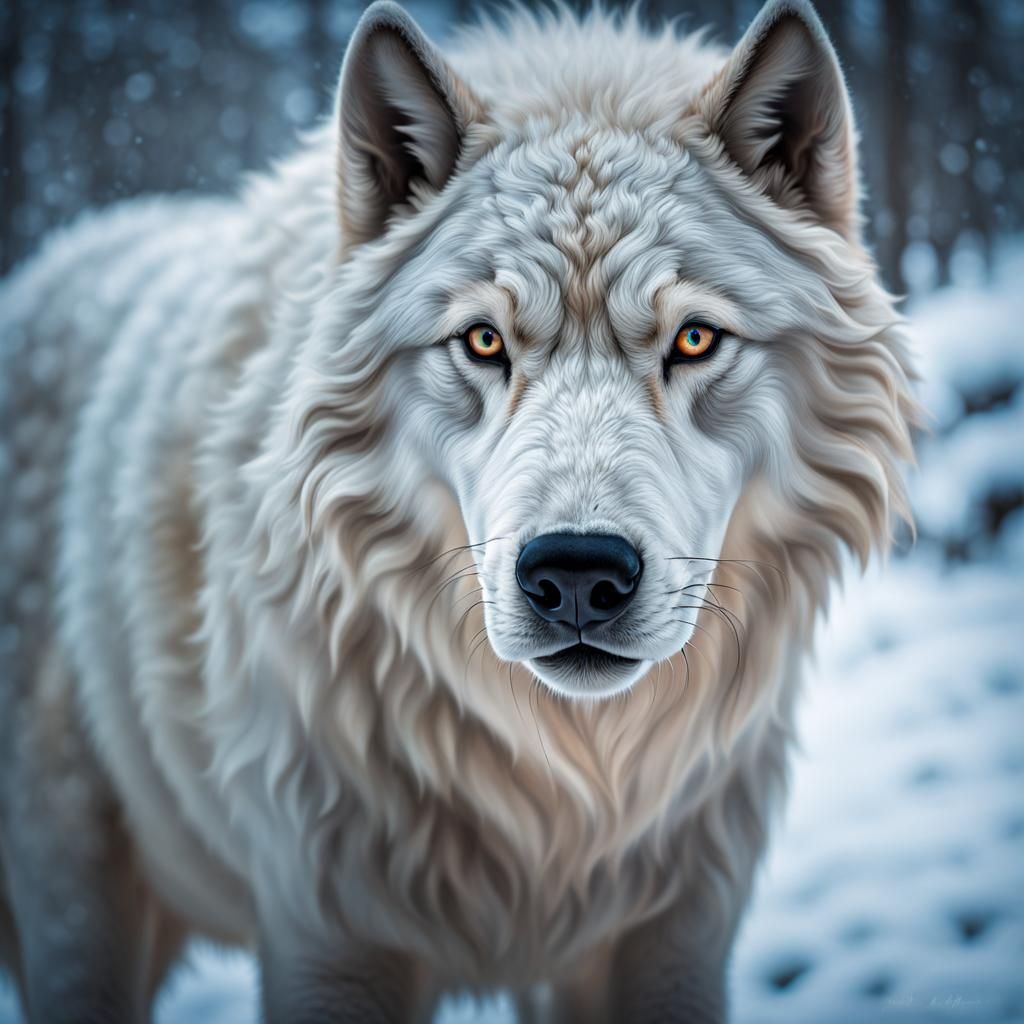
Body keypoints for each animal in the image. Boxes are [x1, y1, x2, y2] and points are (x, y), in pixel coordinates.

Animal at [0, 0, 916, 1020]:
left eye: (692, 340)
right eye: (482, 341)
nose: (577, 575)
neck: (567, 784)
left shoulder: (670, 936)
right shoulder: (331, 935)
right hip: (77, 901)